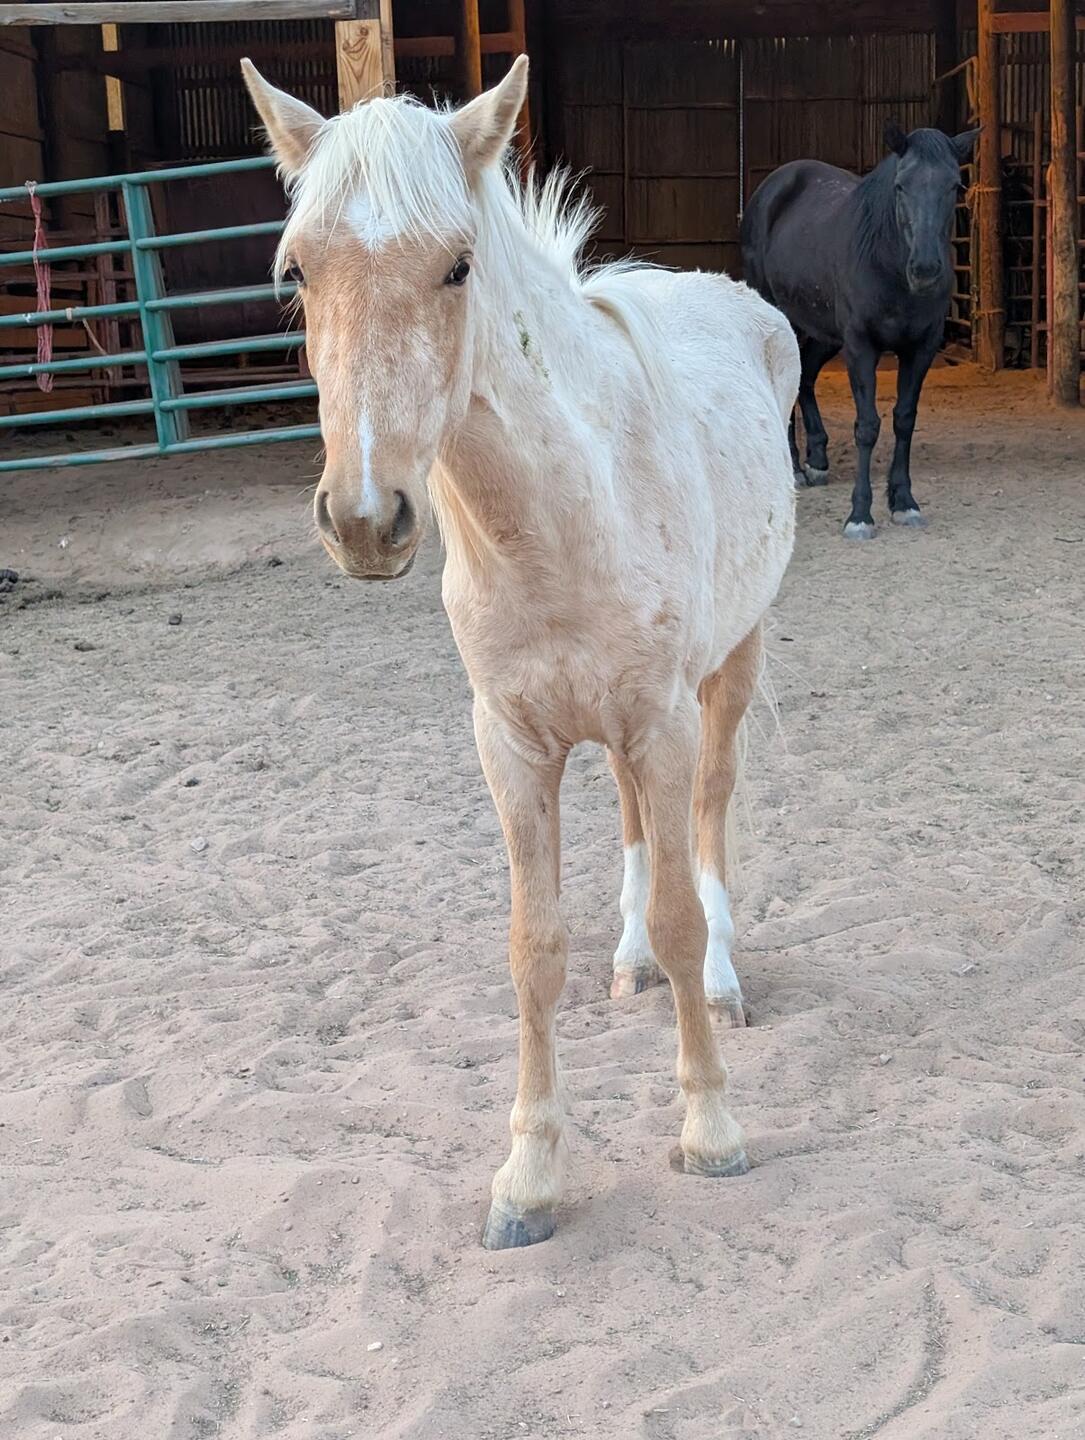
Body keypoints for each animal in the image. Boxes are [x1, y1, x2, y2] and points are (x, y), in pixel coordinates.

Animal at [242, 56, 799, 1249]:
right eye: (298, 271)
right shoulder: (511, 743)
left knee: (709, 816)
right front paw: (530, 1175)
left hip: (725, 674)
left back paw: (720, 980)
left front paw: (710, 1129)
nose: (365, 520)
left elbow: (682, 910)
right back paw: (628, 967)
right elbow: (532, 949)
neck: (559, 510)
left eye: (457, 265)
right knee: (637, 831)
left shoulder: (661, 720)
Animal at [740, 123, 979, 539]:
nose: (925, 269)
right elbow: (867, 426)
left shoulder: (921, 349)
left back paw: (817, 459)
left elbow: (904, 420)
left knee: (805, 378)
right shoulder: (861, 346)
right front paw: (860, 515)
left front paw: (904, 502)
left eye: (954, 185)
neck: (886, 261)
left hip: (824, 333)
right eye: (900, 185)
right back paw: (794, 470)